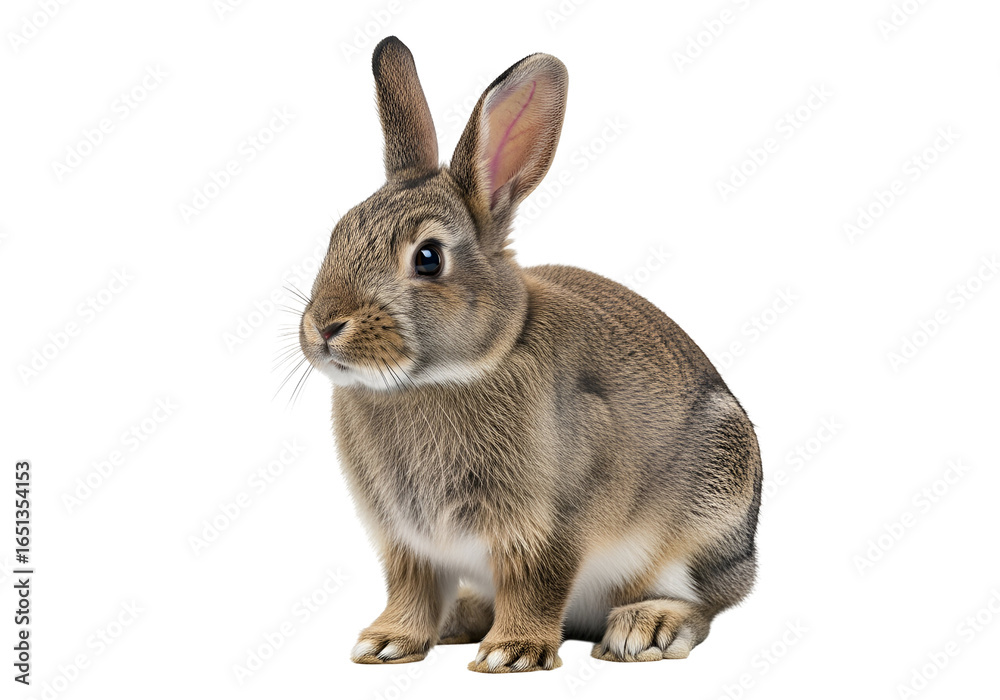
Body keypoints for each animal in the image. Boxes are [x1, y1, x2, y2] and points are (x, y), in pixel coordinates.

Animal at [297, 36, 762, 673]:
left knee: (705, 602)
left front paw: (509, 654)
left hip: (709, 514)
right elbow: (412, 589)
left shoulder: (547, 527)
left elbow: (536, 583)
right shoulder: (408, 543)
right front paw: (387, 643)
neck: (449, 374)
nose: (324, 327)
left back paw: (645, 629)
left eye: (427, 258)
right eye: (337, 234)